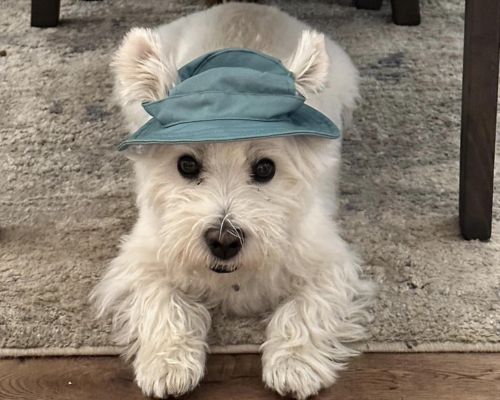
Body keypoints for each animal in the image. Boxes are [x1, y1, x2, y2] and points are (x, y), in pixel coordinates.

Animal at [92, 1, 374, 398]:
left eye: (266, 168)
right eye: (187, 164)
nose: (223, 242)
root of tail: (245, 6)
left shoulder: (328, 262)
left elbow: (306, 307)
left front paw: (295, 364)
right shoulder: (142, 258)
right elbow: (161, 301)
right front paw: (168, 365)